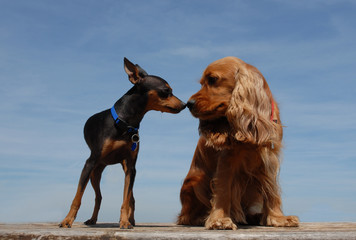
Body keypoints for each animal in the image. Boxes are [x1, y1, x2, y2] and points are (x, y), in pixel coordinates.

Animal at [59, 58, 185, 229]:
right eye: (166, 91)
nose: (185, 104)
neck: (125, 123)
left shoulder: (131, 167)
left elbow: (125, 200)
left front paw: (124, 221)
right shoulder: (88, 164)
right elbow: (77, 197)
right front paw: (67, 220)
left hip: (125, 171)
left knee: (129, 198)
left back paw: (130, 220)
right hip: (95, 172)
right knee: (98, 197)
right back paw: (92, 219)